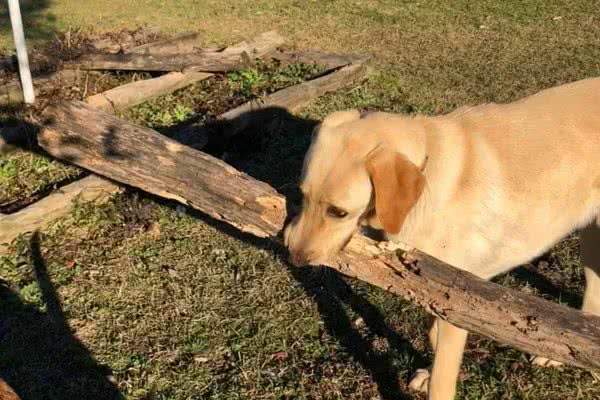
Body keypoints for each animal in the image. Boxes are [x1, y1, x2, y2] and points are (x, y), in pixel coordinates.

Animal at [284, 78, 600, 400]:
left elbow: (443, 377)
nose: (293, 256)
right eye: (302, 195)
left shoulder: (457, 301)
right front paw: (426, 370)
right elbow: (432, 335)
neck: (427, 166)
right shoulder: (432, 287)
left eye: (338, 212)